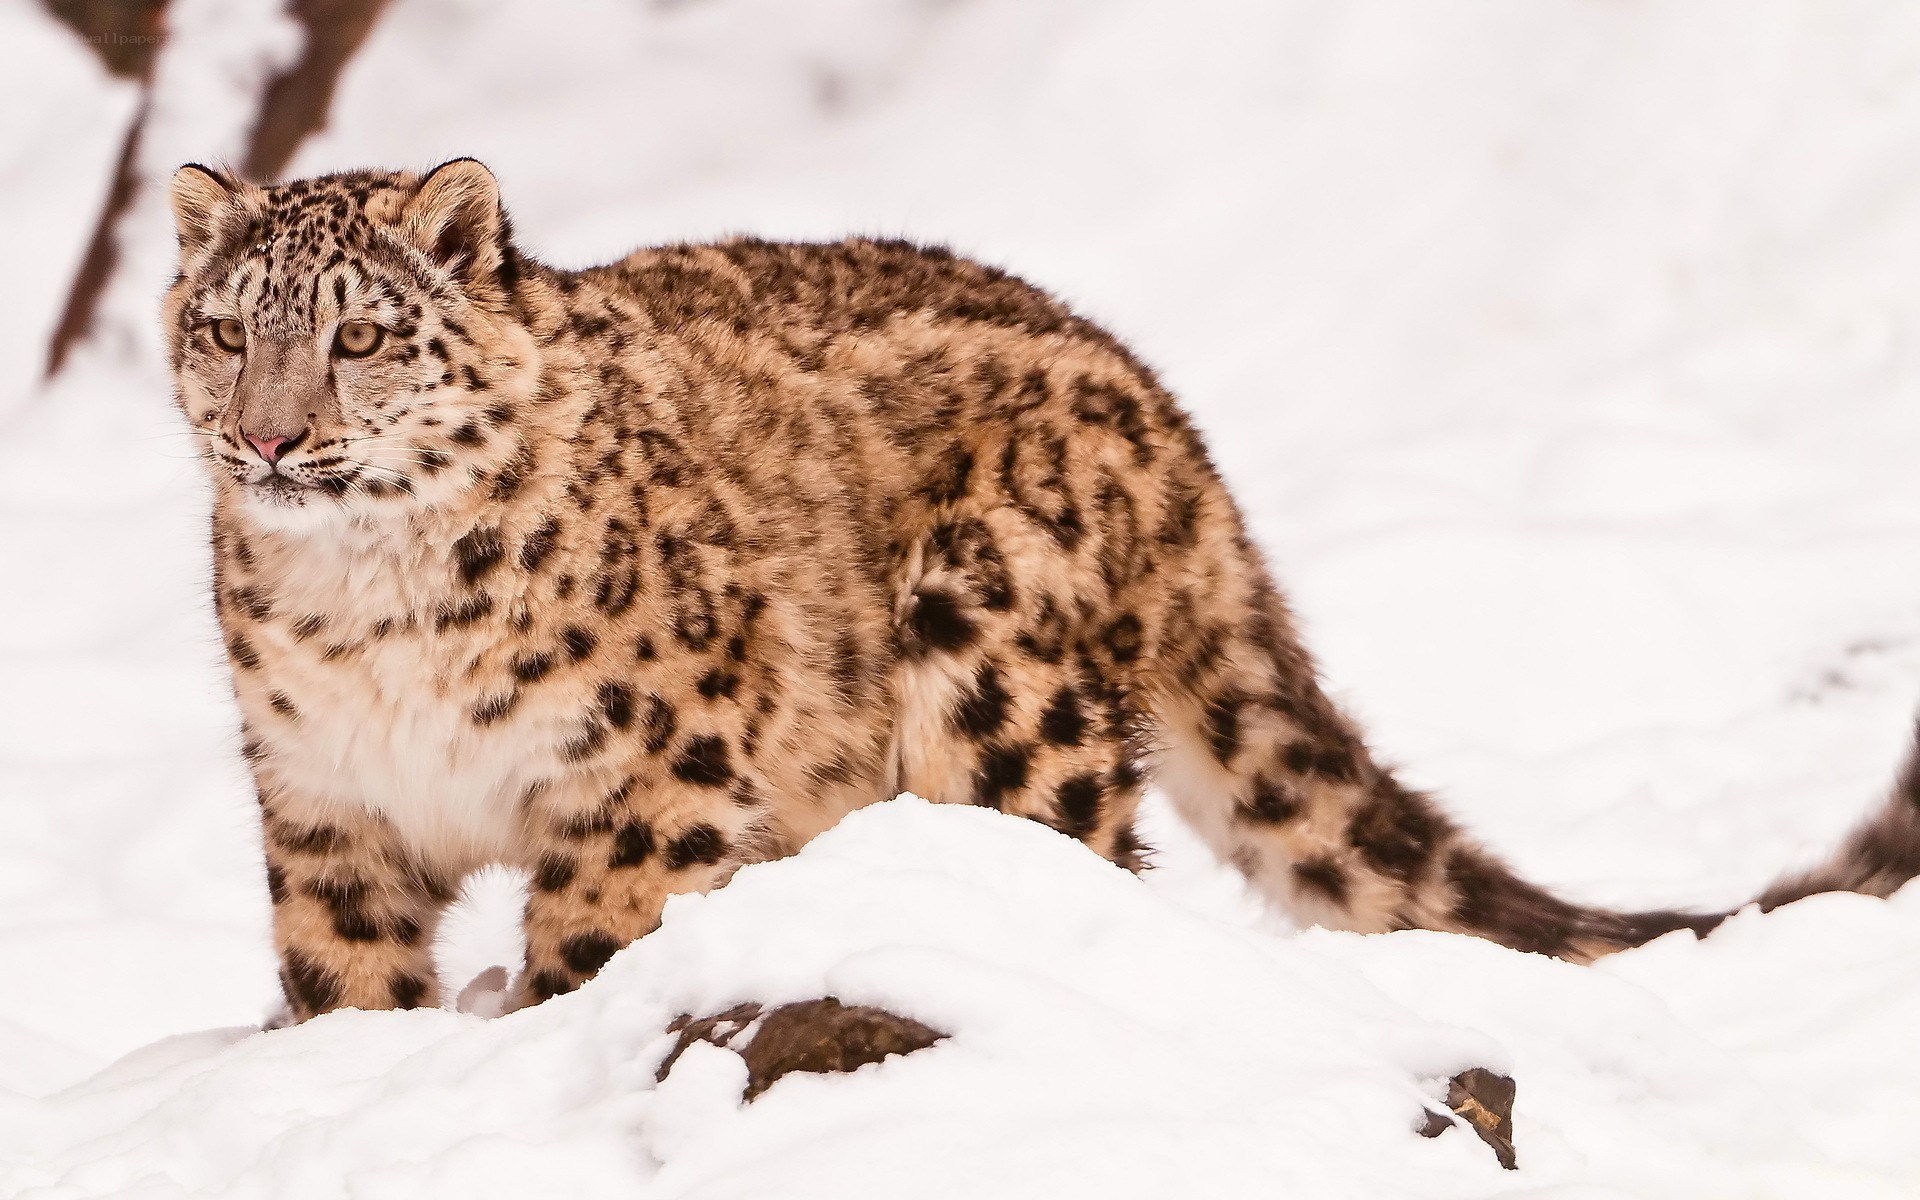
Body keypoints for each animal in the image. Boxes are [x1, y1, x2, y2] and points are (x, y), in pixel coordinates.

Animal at [162, 159, 1920, 1022]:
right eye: (224, 324)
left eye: (361, 333)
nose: (271, 434)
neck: (369, 617)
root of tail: (1165, 414)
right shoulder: (323, 807)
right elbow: (341, 981)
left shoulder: (646, 778)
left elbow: (595, 942)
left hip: (995, 673)